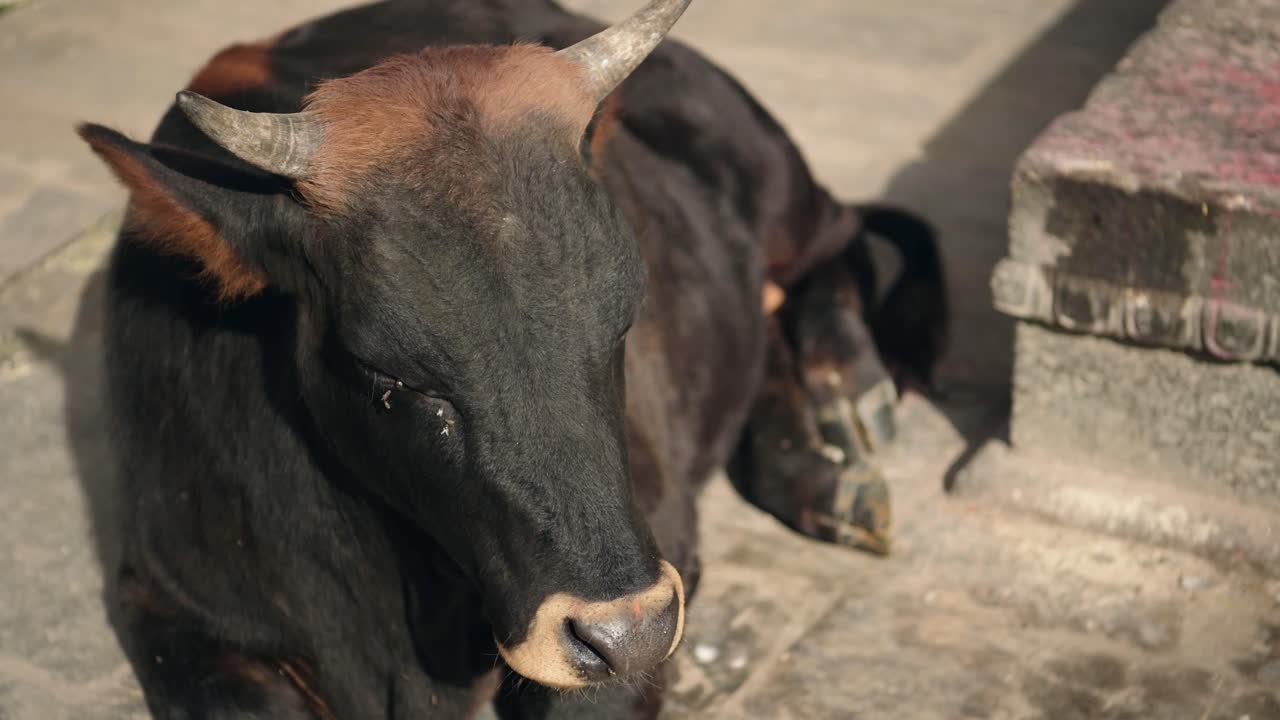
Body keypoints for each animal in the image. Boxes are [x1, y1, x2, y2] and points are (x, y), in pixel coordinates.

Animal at [77, 0, 945, 717]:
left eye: (621, 322)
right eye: (390, 375)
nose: (625, 630)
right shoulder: (170, 605)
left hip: (777, 181)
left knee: (836, 246)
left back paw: (849, 401)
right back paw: (818, 473)